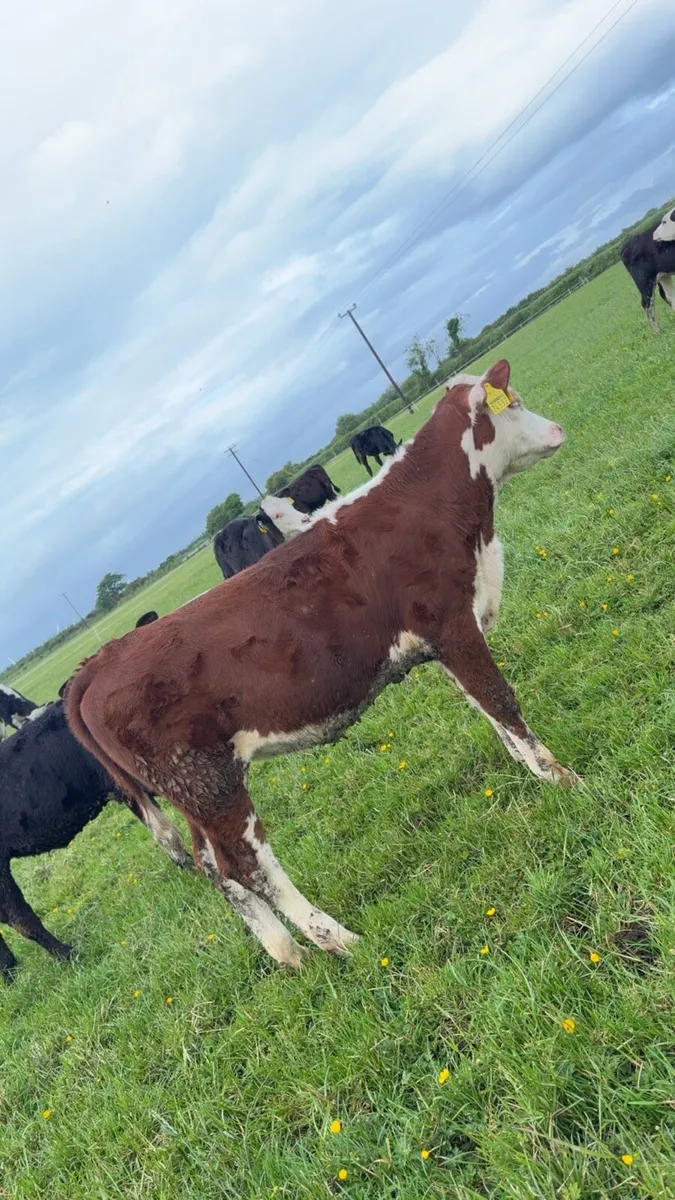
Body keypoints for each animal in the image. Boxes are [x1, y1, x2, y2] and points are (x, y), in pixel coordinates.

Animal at [64, 359, 577, 972]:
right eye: (512, 403)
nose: (558, 430)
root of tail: (101, 660)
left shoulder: (442, 643)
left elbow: (491, 716)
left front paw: (531, 772)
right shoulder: (453, 624)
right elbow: (503, 701)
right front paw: (563, 780)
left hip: (191, 793)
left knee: (216, 869)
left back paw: (288, 953)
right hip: (210, 783)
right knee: (246, 865)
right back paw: (337, 938)